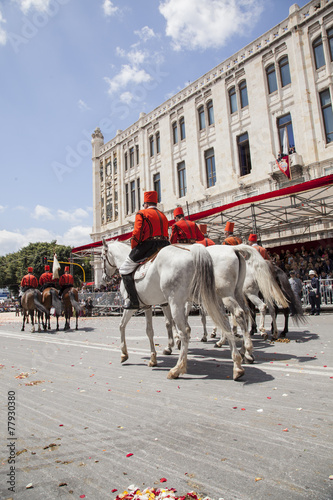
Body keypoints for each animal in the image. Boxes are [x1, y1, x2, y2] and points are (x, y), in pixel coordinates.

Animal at [101, 240, 244, 380]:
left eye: (102, 256)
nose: (104, 279)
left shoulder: (131, 305)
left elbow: (122, 326)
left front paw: (124, 354)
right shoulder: (148, 306)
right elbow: (150, 331)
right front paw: (153, 358)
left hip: (179, 301)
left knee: (186, 331)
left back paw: (177, 369)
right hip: (211, 298)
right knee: (225, 322)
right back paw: (237, 364)